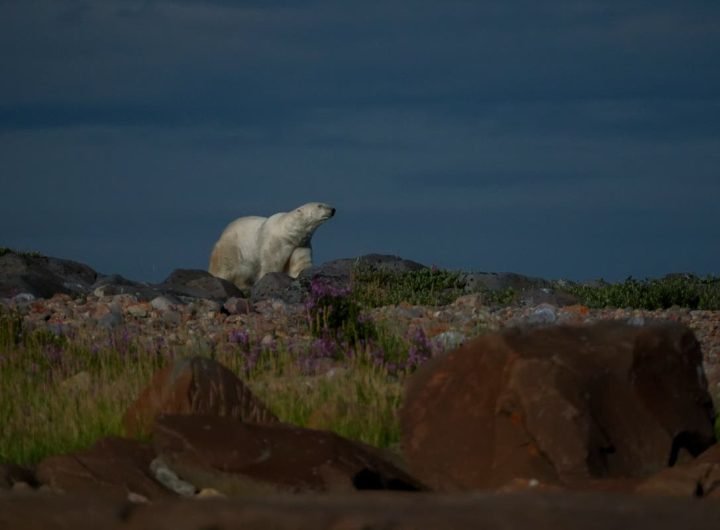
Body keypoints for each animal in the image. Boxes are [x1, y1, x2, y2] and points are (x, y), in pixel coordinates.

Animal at [205, 201, 334, 286]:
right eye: (319, 205)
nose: (333, 210)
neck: (288, 233)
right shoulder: (275, 242)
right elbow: (271, 263)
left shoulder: (301, 244)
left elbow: (300, 263)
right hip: (231, 247)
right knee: (226, 267)